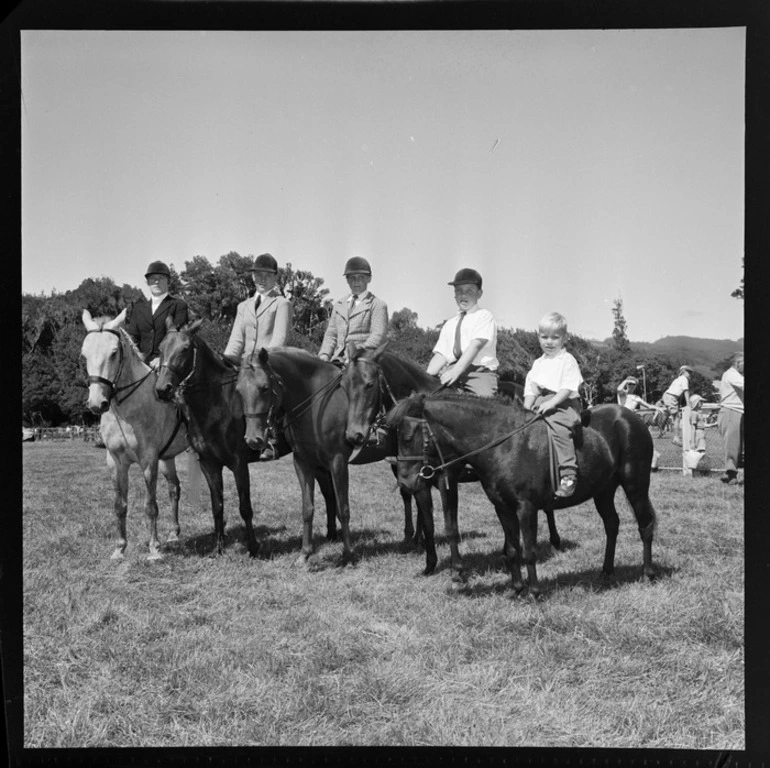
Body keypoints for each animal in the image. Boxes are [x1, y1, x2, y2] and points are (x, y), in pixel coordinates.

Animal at [80, 308, 190, 560]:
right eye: (84, 354)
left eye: (113, 353)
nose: (96, 403)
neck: (125, 411)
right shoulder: (115, 462)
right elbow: (119, 505)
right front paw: (119, 548)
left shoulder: (148, 460)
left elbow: (150, 505)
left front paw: (154, 548)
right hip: (167, 458)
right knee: (174, 489)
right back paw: (174, 534)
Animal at [153, 318, 260, 560]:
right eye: (160, 348)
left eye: (185, 349)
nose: (163, 389)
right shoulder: (209, 464)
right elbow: (217, 506)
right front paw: (217, 548)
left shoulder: (239, 464)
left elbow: (245, 507)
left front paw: (253, 547)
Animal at [340, 344, 560, 580]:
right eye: (344, 386)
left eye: (369, 384)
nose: (354, 435)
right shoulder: (419, 482)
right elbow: (428, 523)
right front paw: (429, 564)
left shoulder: (447, 479)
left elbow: (450, 525)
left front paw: (457, 569)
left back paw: (554, 540)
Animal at [388, 392, 656, 596]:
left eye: (408, 436)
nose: (405, 482)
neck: (504, 444)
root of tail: (633, 418)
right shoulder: (503, 507)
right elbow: (512, 549)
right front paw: (517, 588)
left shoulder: (526, 508)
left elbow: (528, 551)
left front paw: (534, 591)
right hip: (603, 491)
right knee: (612, 524)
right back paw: (606, 571)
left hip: (635, 485)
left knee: (645, 525)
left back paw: (647, 574)